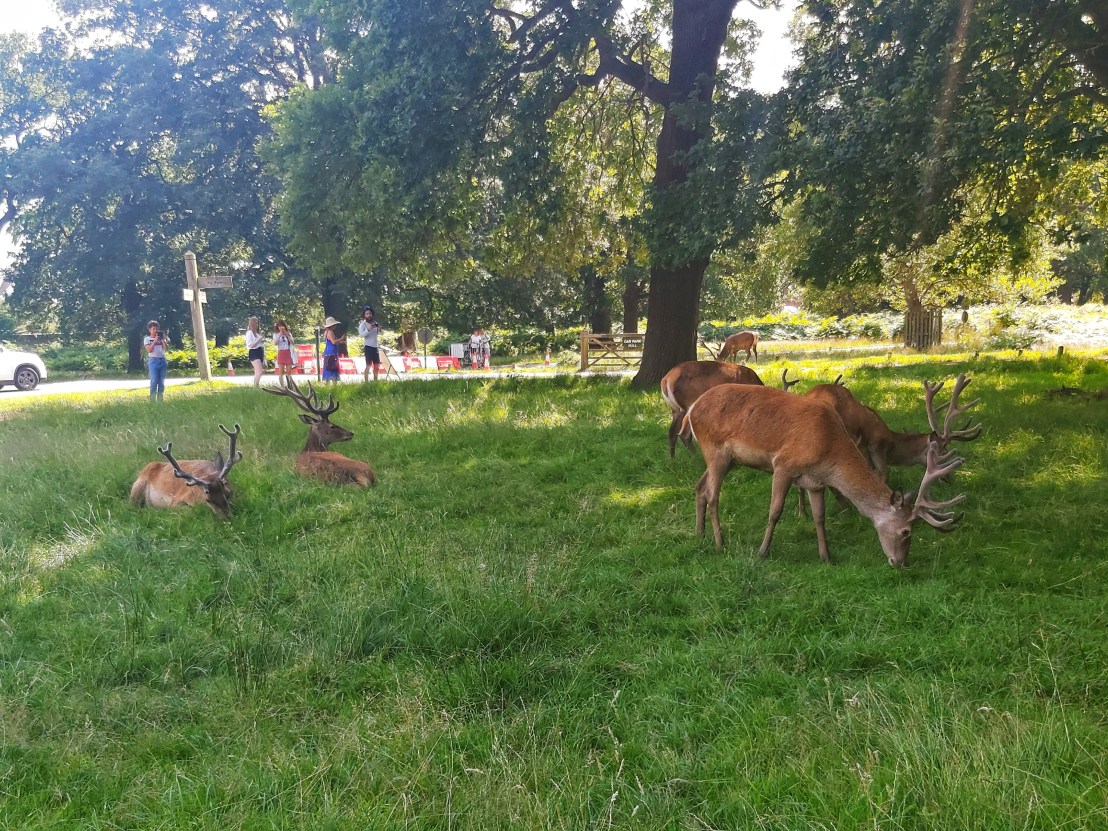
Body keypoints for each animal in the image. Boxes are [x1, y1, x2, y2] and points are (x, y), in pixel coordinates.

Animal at [683, 385, 966, 567]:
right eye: (906, 531)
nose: (900, 562)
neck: (829, 451)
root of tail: (690, 409)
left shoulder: (815, 482)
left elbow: (820, 517)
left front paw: (826, 556)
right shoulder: (783, 464)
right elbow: (775, 511)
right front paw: (762, 552)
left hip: (728, 459)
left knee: (699, 487)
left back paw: (699, 534)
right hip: (715, 450)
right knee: (713, 494)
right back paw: (720, 543)